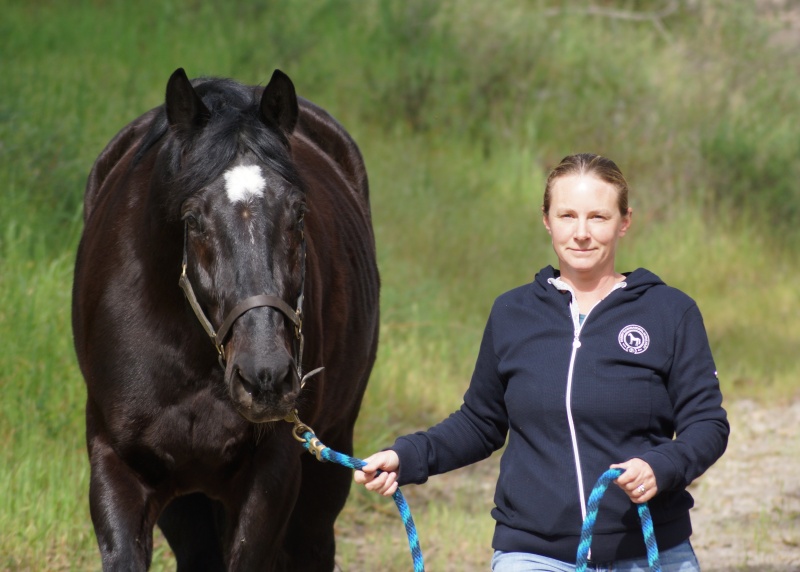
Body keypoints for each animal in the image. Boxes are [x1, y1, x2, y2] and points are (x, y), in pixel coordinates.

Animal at [72, 67, 380, 571]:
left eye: (299, 214)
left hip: (328, 460)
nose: (265, 376)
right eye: (193, 219)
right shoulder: (118, 465)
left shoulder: (272, 474)